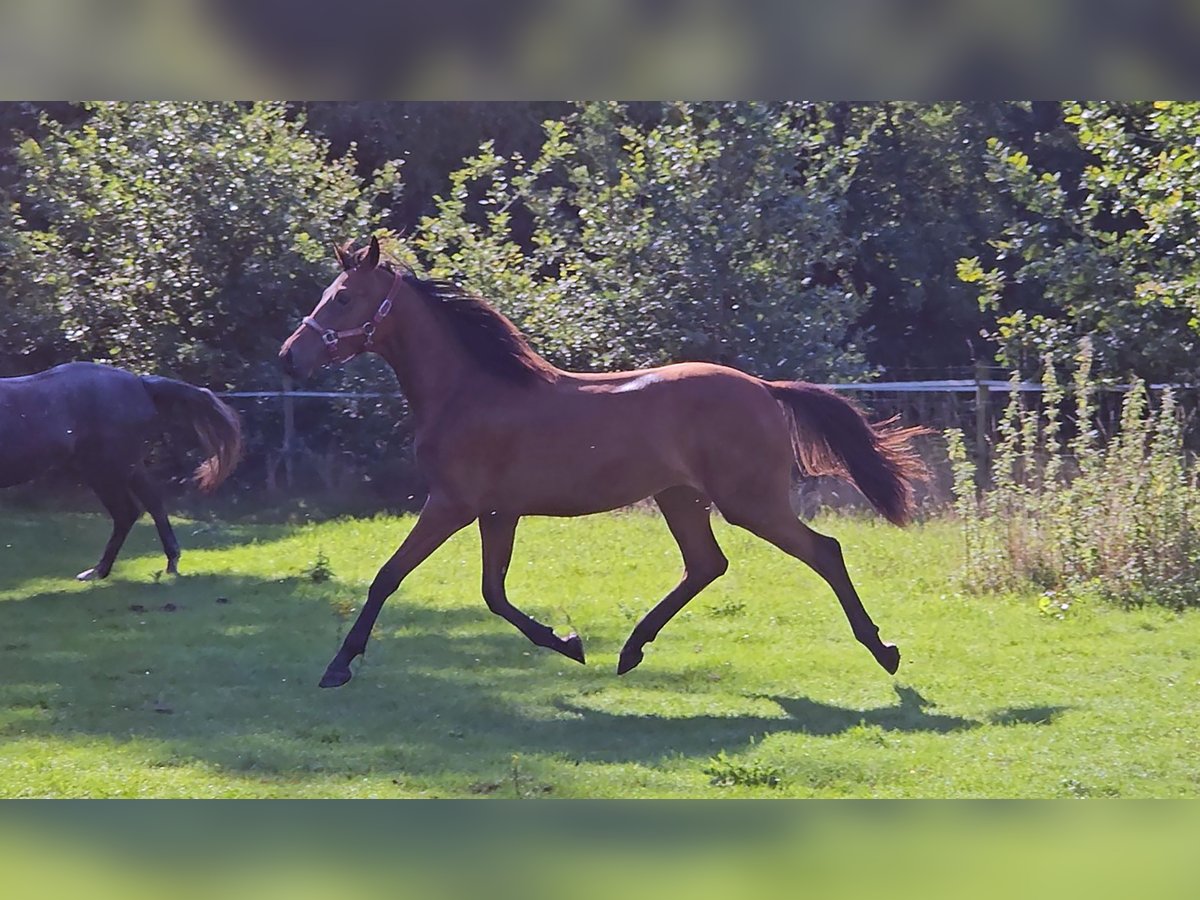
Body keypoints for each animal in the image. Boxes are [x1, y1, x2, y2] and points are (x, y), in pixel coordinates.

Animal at [0, 362, 242, 580]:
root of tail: (142, 384)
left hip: (106, 472)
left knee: (128, 512)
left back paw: (100, 571)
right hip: (126, 468)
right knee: (151, 504)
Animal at [280, 237, 929, 689]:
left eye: (342, 297)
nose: (290, 357)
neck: (469, 391)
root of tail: (766, 389)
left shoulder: (453, 505)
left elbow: (388, 576)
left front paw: (338, 666)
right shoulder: (497, 513)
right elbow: (493, 592)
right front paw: (569, 642)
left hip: (750, 501)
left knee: (823, 552)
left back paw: (885, 651)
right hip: (681, 497)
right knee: (706, 565)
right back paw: (630, 649)